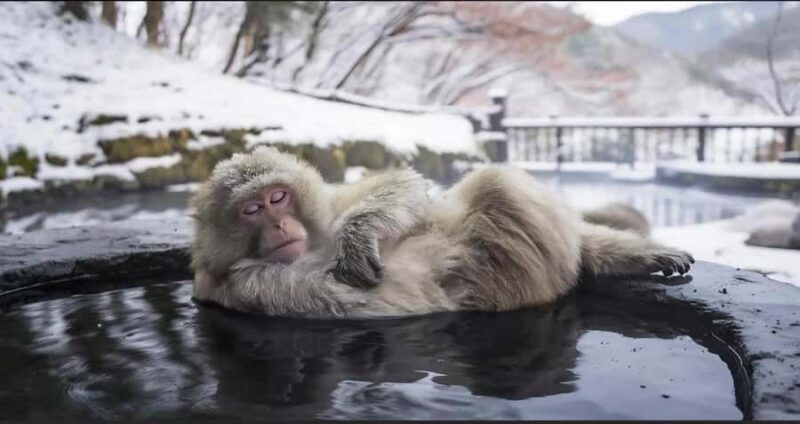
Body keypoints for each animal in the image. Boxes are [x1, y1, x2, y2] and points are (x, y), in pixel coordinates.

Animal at [190, 146, 694, 319]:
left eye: (277, 198)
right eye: (251, 210)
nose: (278, 224)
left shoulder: (332, 202)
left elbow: (404, 186)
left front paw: (357, 235)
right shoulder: (248, 286)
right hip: (530, 269)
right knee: (498, 186)